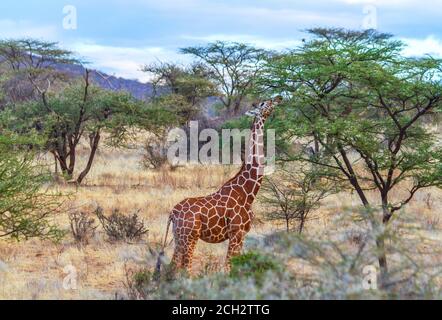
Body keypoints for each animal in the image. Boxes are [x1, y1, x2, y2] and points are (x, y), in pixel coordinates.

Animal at [164, 98, 282, 272]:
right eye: (263, 104)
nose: (279, 97)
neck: (248, 192)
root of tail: (173, 212)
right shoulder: (236, 232)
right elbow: (228, 267)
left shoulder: (242, 235)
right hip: (190, 237)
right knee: (185, 268)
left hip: (179, 237)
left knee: (172, 267)